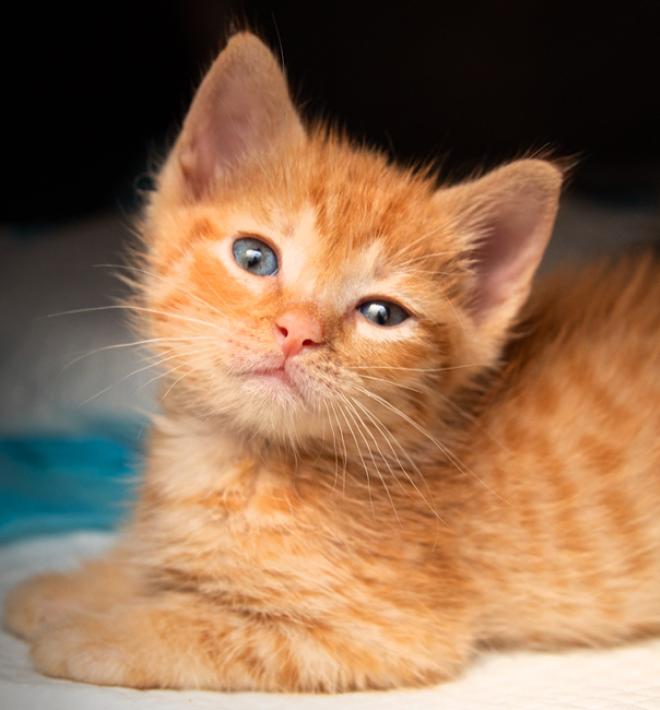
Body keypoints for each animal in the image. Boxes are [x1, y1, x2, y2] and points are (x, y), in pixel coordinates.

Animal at [5, 33, 660, 696]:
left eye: (382, 313)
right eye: (254, 257)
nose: (298, 332)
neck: (232, 457)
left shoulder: (383, 631)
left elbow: (210, 628)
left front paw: (97, 633)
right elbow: (150, 562)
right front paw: (68, 588)